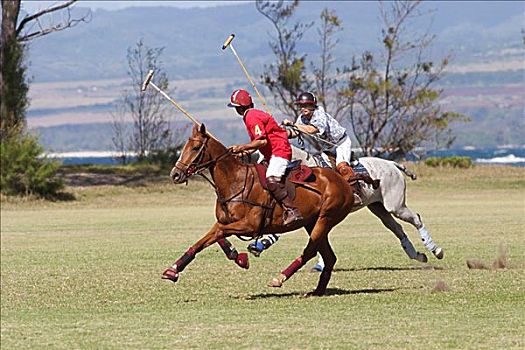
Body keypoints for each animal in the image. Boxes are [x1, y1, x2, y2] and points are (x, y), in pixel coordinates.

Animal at [162, 123, 354, 296]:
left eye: (195, 148)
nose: (175, 174)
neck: (235, 181)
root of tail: (342, 180)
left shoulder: (250, 225)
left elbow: (219, 233)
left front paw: (240, 258)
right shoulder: (224, 221)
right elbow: (204, 240)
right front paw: (172, 270)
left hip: (325, 218)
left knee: (310, 251)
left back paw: (279, 278)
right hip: (312, 222)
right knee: (329, 257)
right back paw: (318, 290)